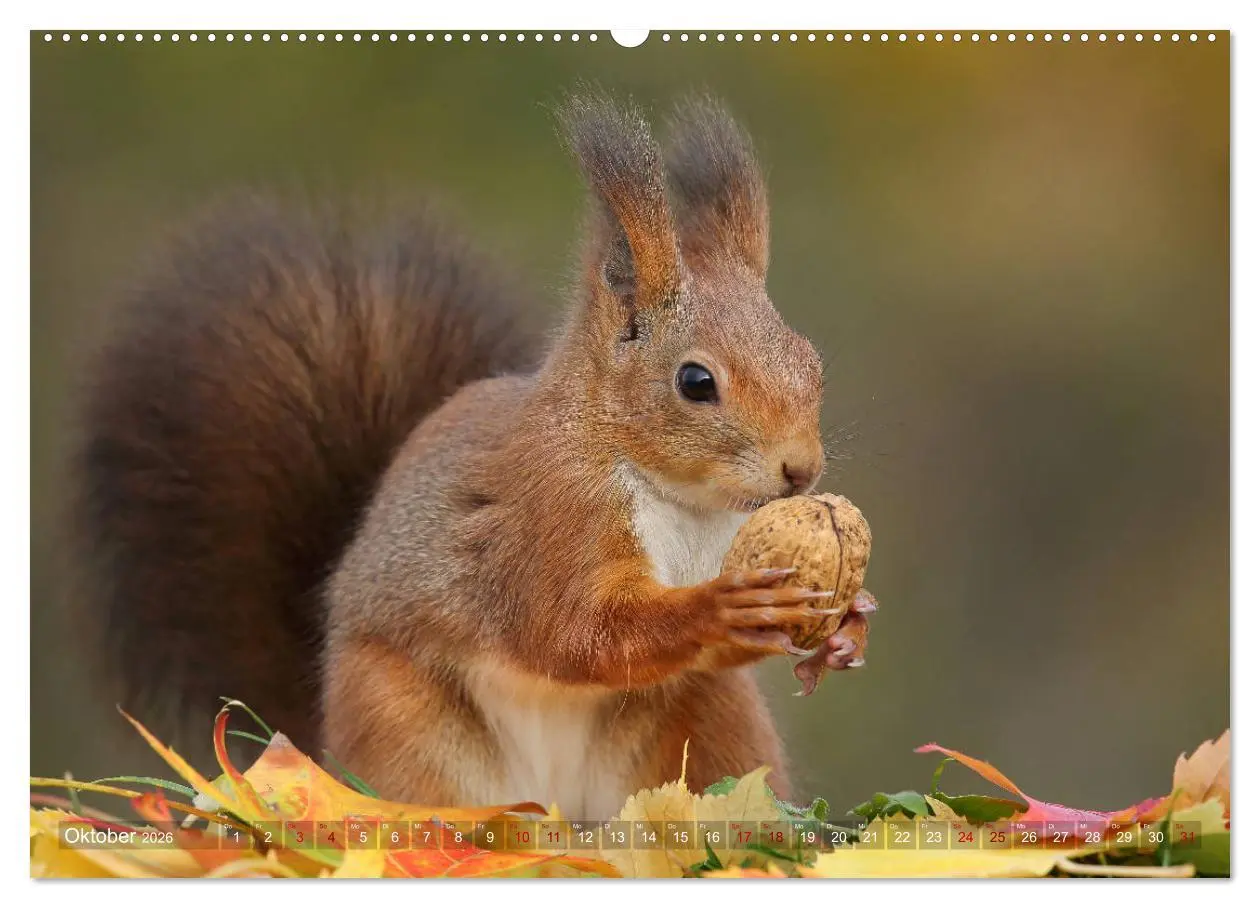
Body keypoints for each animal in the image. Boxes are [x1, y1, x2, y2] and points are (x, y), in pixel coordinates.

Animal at [72, 92, 874, 819]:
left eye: (812, 362)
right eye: (696, 382)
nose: (801, 471)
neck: (679, 500)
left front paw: (849, 625)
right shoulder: (549, 523)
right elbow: (576, 632)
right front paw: (720, 607)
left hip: (710, 725)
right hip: (402, 726)